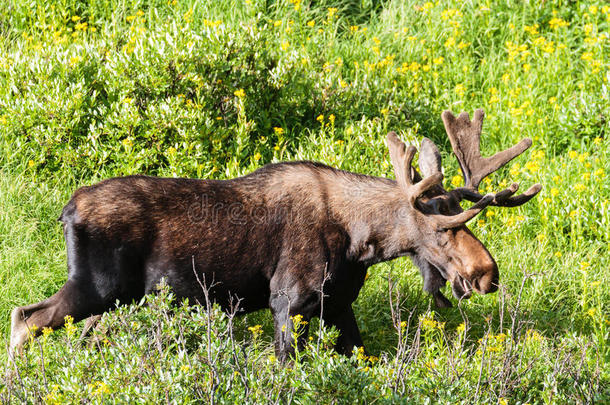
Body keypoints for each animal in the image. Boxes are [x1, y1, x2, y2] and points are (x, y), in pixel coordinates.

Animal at [10, 108, 536, 360]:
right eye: (443, 229)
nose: (486, 273)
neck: (361, 243)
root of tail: (66, 210)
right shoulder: (290, 302)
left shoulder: (337, 304)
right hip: (97, 287)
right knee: (25, 318)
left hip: (115, 301)